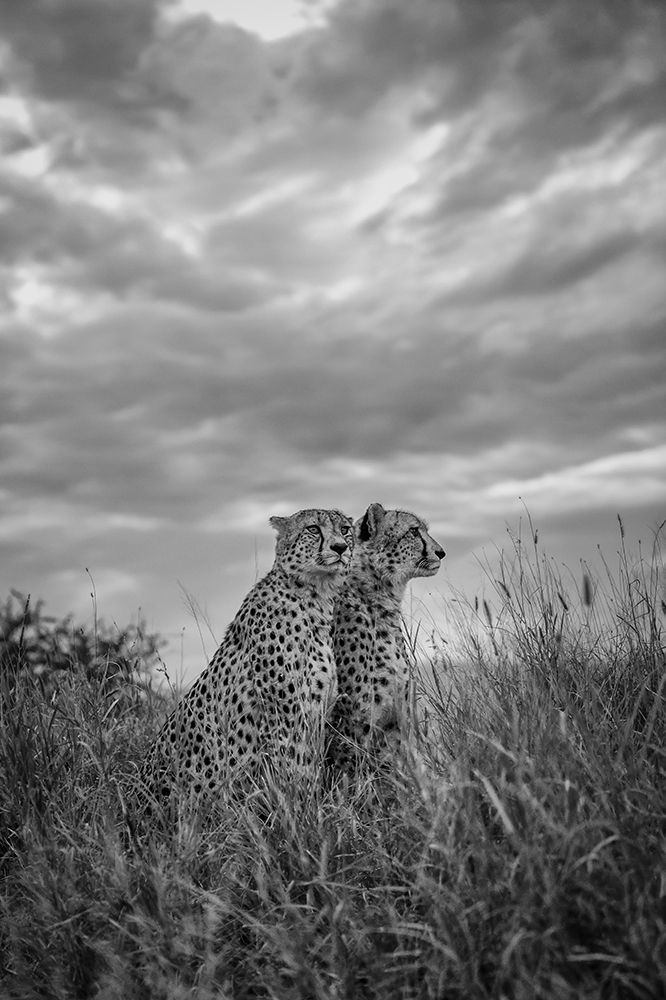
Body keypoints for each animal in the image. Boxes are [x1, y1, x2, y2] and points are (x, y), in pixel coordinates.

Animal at [135, 508, 354, 822]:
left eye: (346, 529)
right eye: (313, 529)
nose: (340, 547)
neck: (314, 596)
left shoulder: (315, 712)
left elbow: (310, 766)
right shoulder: (284, 717)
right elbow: (294, 771)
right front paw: (302, 814)